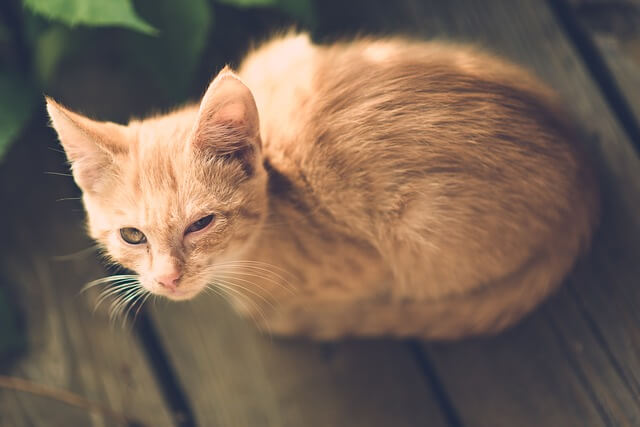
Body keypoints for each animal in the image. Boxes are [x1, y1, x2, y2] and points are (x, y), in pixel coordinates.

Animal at [46, 32, 600, 342]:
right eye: (132, 236)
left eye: (202, 223)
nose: (167, 280)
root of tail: (582, 172)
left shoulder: (370, 267)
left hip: (420, 223)